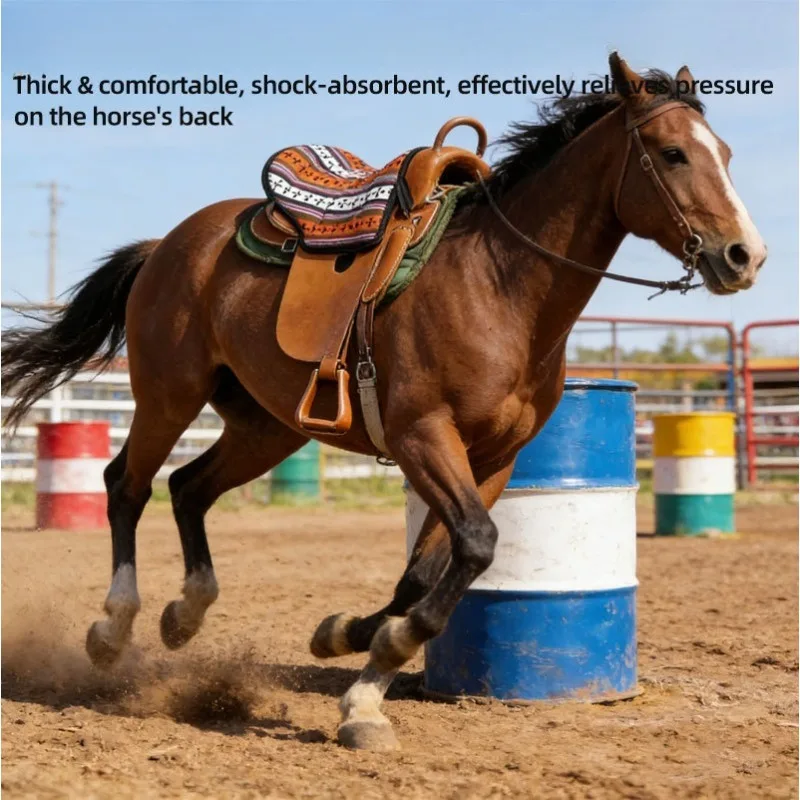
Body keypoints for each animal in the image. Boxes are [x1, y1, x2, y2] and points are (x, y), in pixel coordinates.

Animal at [2, 54, 766, 751]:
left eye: (726, 154)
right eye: (671, 153)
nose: (744, 255)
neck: (499, 282)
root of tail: (167, 244)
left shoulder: (494, 459)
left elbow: (427, 573)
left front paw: (351, 653)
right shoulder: (422, 436)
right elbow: (472, 548)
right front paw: (371, 677)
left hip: (268, 426)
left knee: (189, 487)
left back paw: (185, 614)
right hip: (169, 393)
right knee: (126, 485)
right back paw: (113, 627)